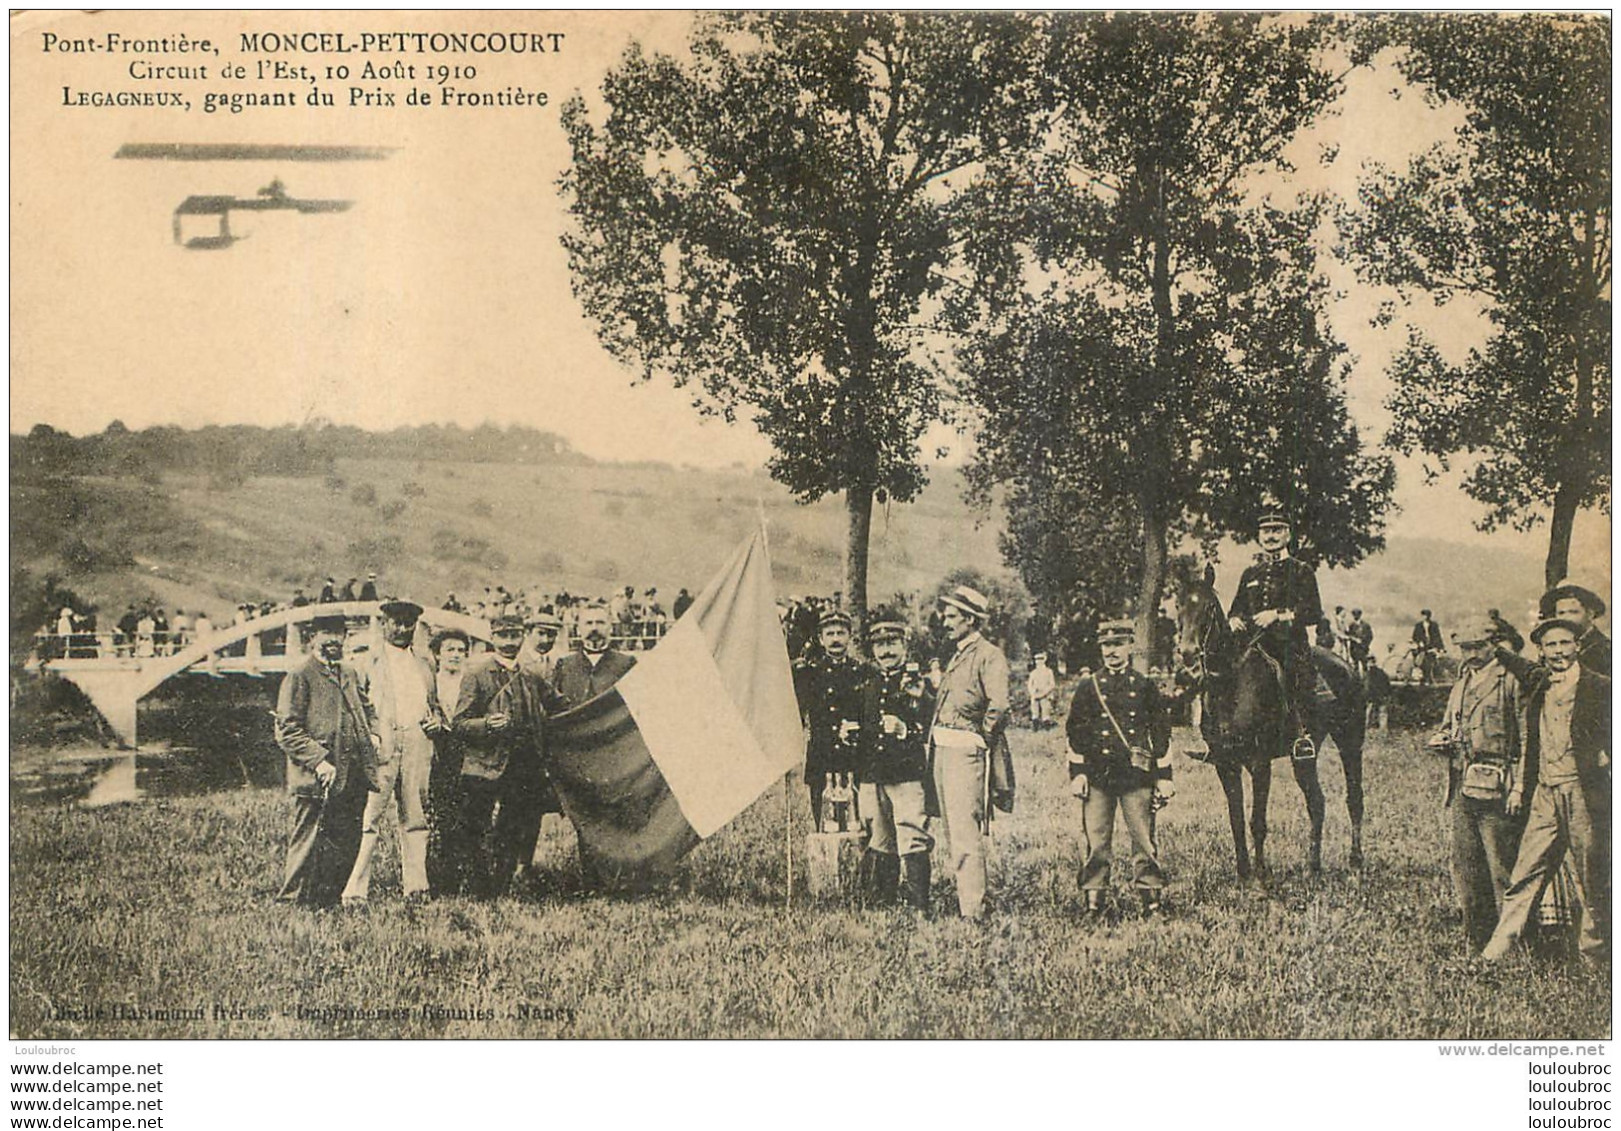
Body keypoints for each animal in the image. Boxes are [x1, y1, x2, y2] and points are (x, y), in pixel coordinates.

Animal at [1180, 567, 1368, 874]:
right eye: (1179, 605)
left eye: (1207, 607)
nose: (1187, 654)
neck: (1231, 683)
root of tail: (1349, 668)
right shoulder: (1225, 764)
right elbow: (1236, 820)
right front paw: (1244, 872)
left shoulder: (1259, 763)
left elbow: (1257, 822)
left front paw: (1260, 874)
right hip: (1304, 756)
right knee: (1317, 802)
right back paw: (1313, 866)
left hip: (1350, 743)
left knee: (1354, 798)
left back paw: (1355, 860)